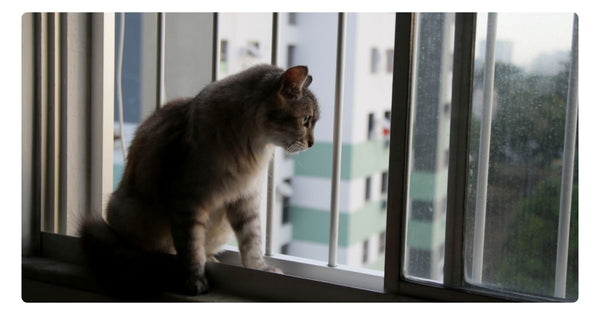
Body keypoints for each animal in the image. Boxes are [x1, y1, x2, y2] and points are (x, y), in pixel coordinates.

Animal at [82, 65, 322, 298]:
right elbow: (191, 249)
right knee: (160, 248)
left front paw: (258, 268)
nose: (312, 144)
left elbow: (251, 242)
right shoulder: (188, 203)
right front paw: (195, 280)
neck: (249, 144)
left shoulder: (245, 199)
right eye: (306, 120)